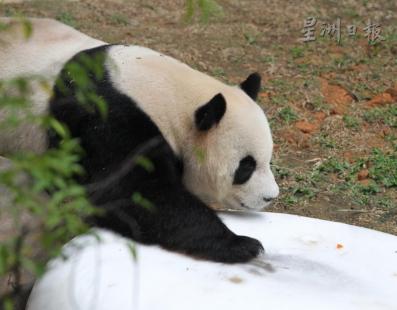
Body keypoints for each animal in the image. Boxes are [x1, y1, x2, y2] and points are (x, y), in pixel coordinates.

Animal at [0, 18, 278, 262]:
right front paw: (243, 245)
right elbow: (135, 194)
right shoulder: (109, 118)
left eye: (267, 159)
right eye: (246, 167)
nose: (270, 197)